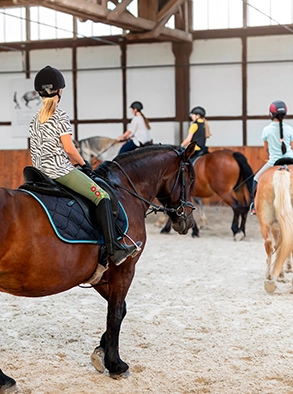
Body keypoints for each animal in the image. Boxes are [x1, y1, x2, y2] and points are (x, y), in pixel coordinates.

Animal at [0, 142, 196, 390]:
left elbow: (121, 310)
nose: (187, 222)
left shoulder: (100, 274)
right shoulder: (124, 269)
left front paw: (100, 353)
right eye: (191, 179)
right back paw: (4, 380)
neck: (124, 190)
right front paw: (116, 365)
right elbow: (115, 314)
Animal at [253, 162, 293, 294]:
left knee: (269, 244)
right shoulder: (279, 228)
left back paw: (270, 277)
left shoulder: (277, 228)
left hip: (265, 224)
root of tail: (282, 170)